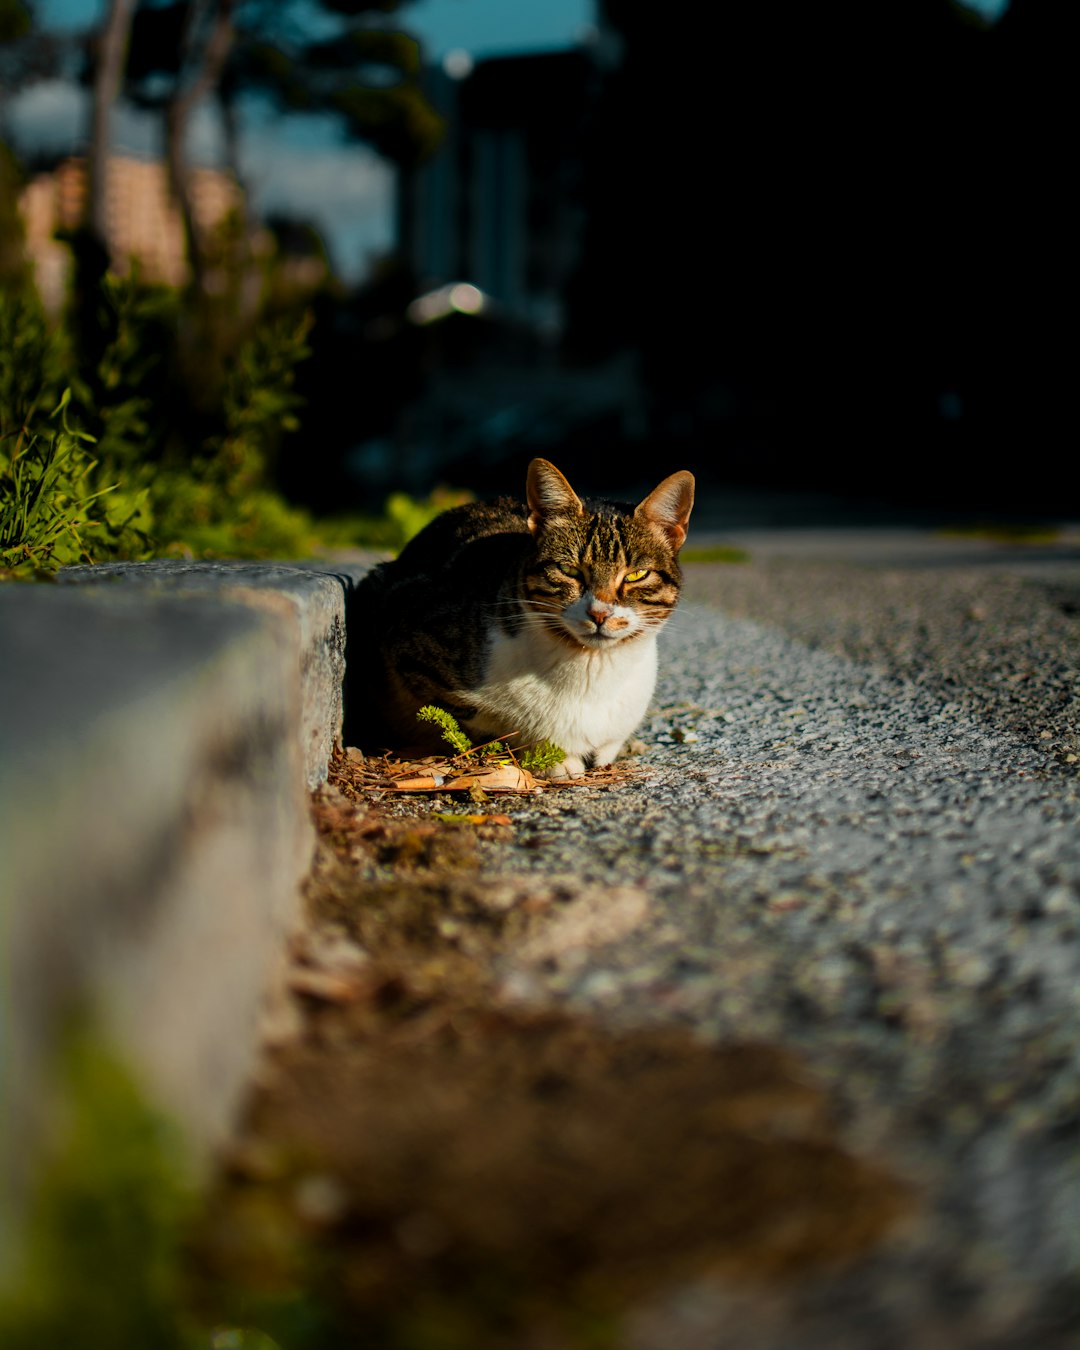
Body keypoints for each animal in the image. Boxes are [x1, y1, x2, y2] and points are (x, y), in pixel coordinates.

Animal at [351, 459, 696, 783]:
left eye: (637, 574)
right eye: (568, 570)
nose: (599, 613)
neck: (591, 671)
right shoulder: (409, 645)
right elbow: (483, 722)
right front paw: (551, 756)